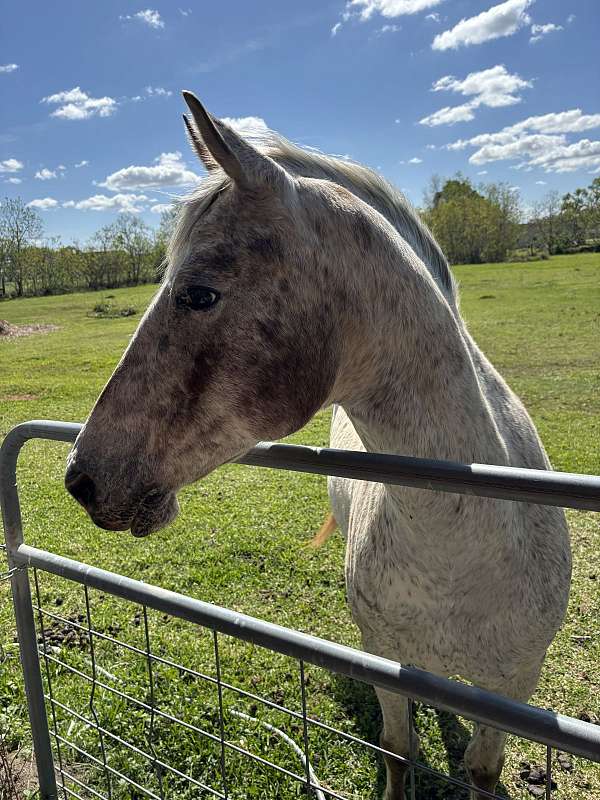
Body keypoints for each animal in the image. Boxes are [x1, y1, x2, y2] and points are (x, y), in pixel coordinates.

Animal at [65, 91, 572, 799]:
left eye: (198, 293)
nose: (80, 477)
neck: (466, 548)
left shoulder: (514, 685)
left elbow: (480, 771)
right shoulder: (388, 662)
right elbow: (396, 751)